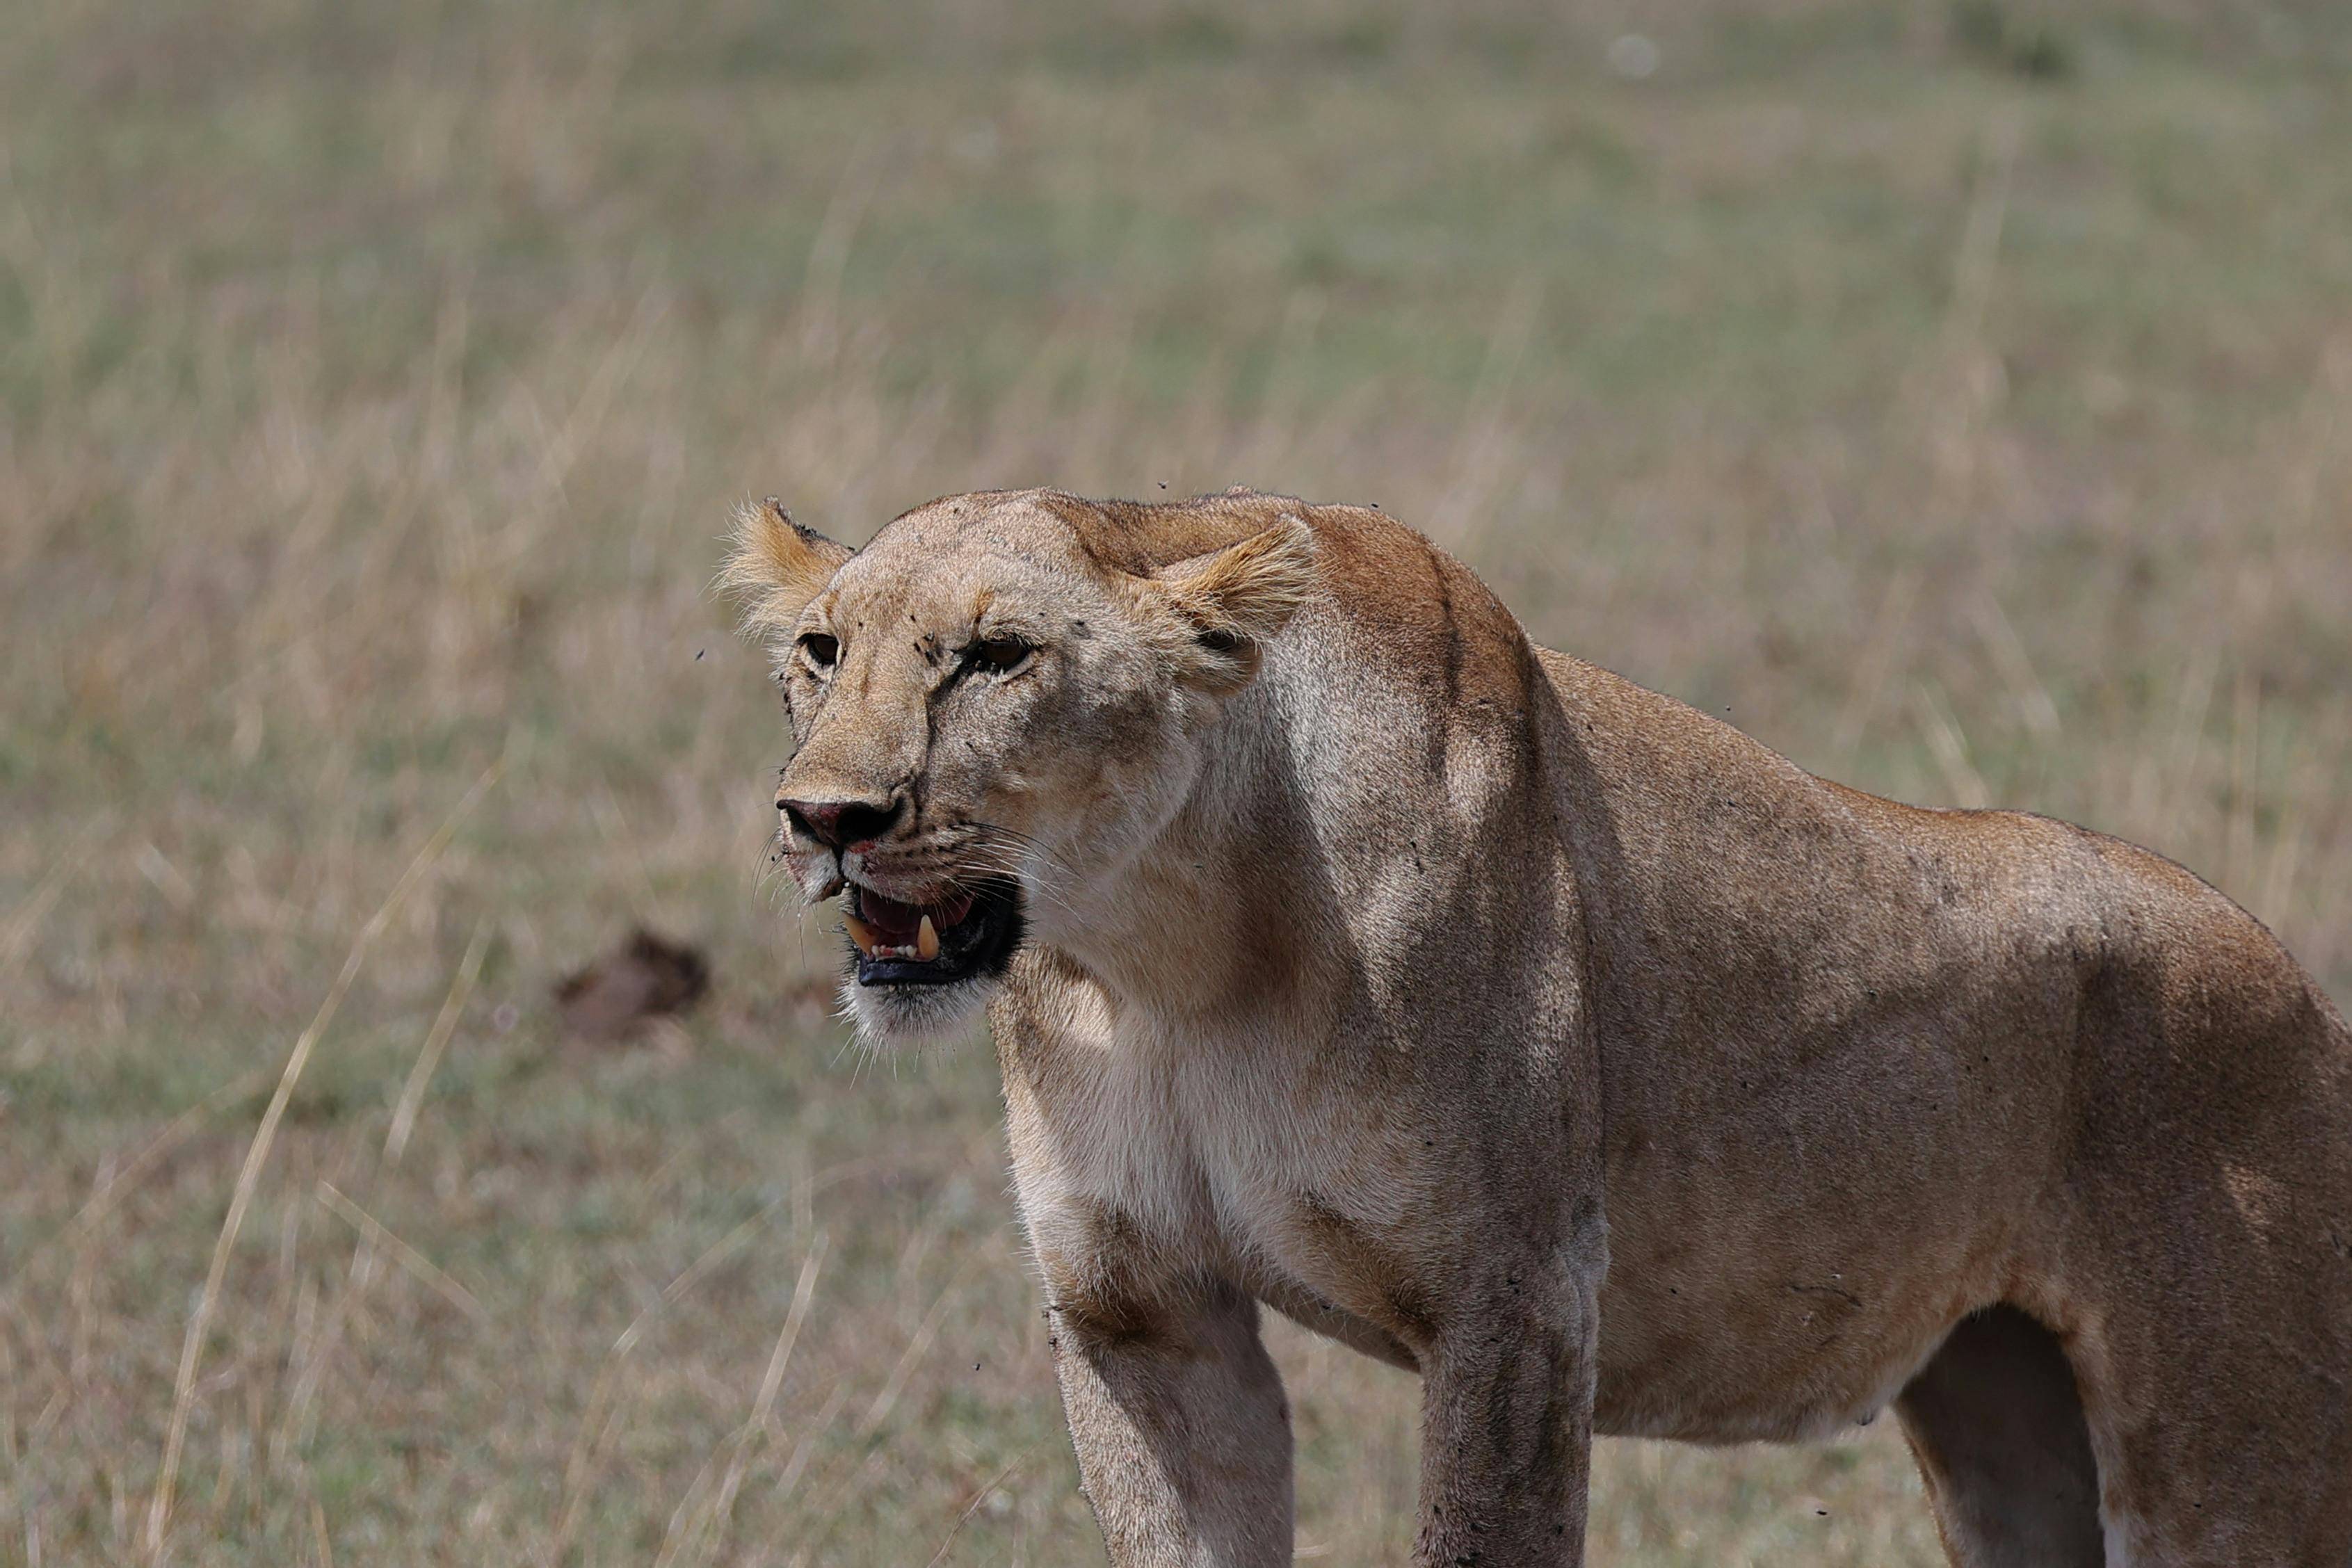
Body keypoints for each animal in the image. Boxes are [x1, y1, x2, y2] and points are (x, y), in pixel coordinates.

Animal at [726, 486, 2352, 1566]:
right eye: (820, 650)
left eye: (996, 656)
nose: (826, 819)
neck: (1161, 955)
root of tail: (2291, 980)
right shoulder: (1141, 1308)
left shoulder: (1512, 1294)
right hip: (2006, 1418)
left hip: (2228, 1446)